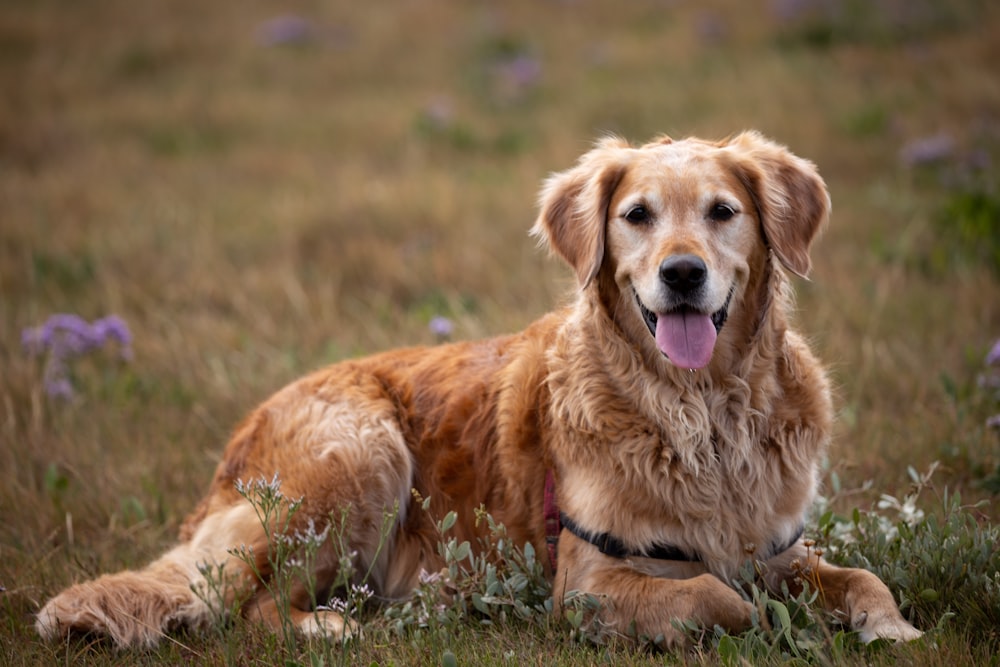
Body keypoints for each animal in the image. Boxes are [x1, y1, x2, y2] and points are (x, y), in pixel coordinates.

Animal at [35, 130, 920, 648]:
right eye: (636, 214)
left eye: (723, 211)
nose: (681, 273)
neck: (700, 412)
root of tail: (236, 441)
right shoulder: (589, 584)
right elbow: (718, 594)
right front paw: (774, 621)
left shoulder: (780, 544)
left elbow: (860, 577)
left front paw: (892, 628)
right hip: (360, 454)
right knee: (247, 614)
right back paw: (340, 627)